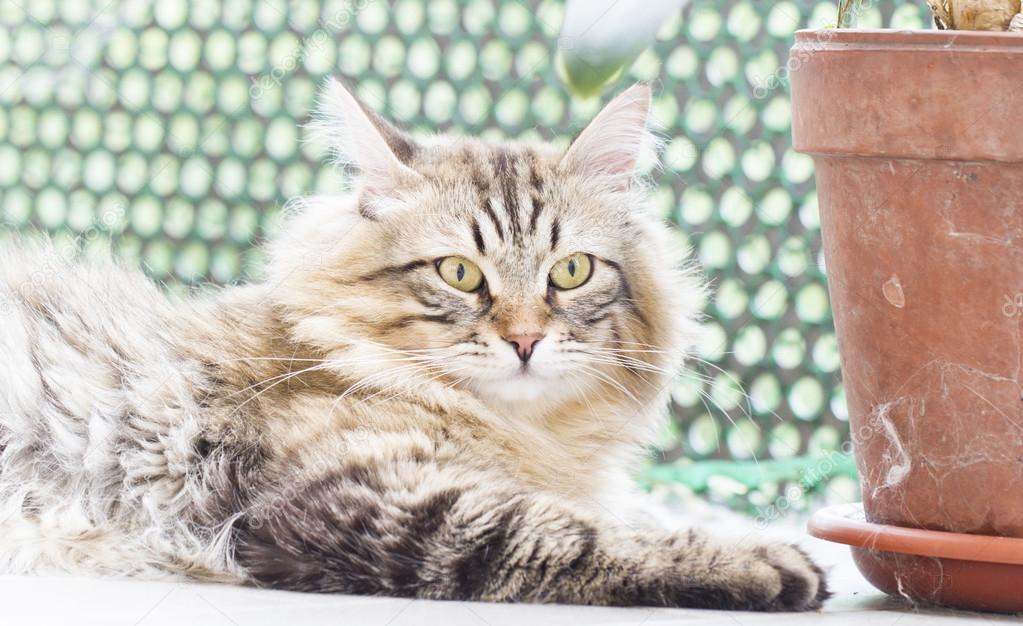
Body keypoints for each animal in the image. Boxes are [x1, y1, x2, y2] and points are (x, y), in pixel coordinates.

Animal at [0, 79, 830, 609]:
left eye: (570, 271)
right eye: (459, 273)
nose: (525, 339)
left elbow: (640, 510)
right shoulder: (365, 499)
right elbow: (570, 534)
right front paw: (760, 562)